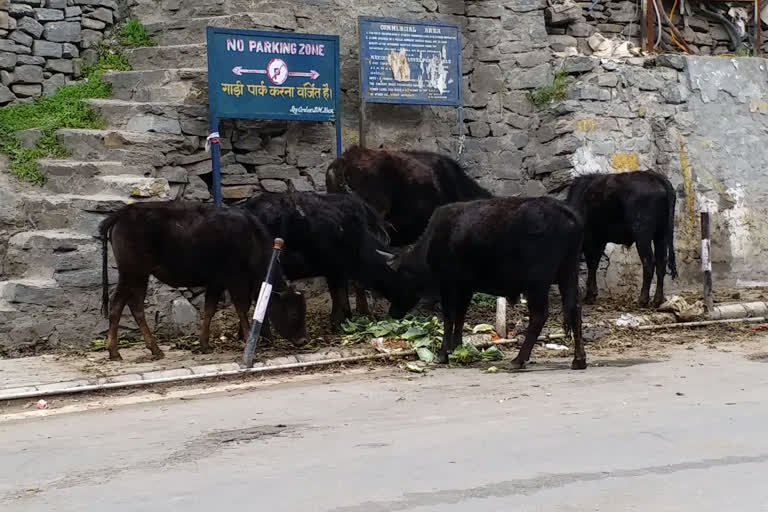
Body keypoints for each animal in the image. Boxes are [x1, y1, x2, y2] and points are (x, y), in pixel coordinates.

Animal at [97, 200, 308, 360]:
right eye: (293, 313)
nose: (303, 340)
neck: (251, 238)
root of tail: (124, 212)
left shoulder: (216, 281)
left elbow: (209, 309)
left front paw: (204, 344)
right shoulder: (236, 279)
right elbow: (242, 307)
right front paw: (248, 339)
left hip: (139, 276)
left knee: (135, 306)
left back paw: (153, 349)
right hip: (132, 273)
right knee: (118, 306)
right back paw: (115, 351)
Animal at [380, 196, 588, 368]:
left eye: (397, 278)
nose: (392, 312)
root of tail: (566, 212)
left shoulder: (448, 284)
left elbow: (449, 316)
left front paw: (443, 354)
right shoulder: (465, 286)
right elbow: (460, 315)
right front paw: (458, 347)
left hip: (537, 282)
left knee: (539, 315)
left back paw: (518, 360)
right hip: (568, 272)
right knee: (575, 309)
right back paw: (579, 360)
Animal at [564, 172, 680, 308]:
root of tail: (655, 176)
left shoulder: (590, 240)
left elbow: (591, 264)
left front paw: (590, 296)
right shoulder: (599, 240)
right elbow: (594, 263)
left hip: (643, 235)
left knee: (649, 262)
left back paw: (643, 300)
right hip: (661, 234)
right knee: (661, 263)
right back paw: (658, 300)